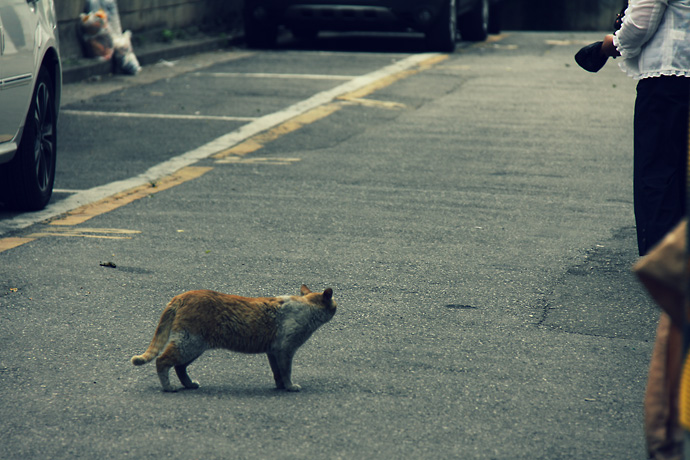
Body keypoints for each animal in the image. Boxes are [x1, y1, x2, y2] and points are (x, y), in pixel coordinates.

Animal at [131, 284, 336, 392]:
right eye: (334, 303)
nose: (337, 307)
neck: (306, 308)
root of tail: (182, 296)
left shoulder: (272, 351)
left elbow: (277, 371)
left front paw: (279, 386)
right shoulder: (285, 350)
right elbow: (286, 371)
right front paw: (289, 387)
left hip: (193, 347)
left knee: (179, 367)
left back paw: (189, 384)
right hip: (189, 343)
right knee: (162, 361)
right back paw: (168, 387)